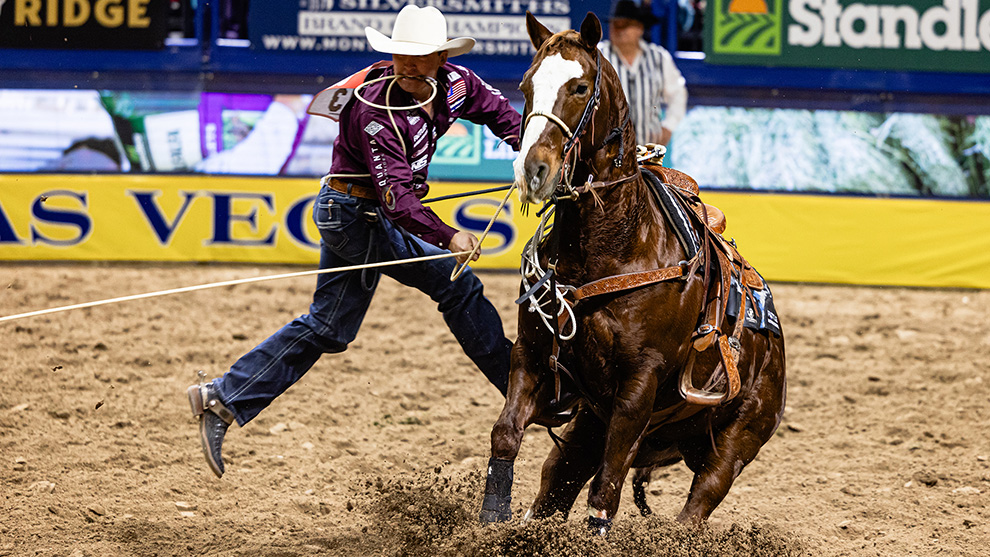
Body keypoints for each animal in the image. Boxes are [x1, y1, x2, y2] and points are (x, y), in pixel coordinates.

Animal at [480, 13, 792, 532]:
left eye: (580, 87)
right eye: (526, 86)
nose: (534, 170)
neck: (613, 247)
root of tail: (775, 346)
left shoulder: (640, 383)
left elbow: (608, 486)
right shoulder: (531, 353)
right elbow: (506, 433)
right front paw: (490, 520)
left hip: (737, 439)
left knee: (697, 501)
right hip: (589, 422)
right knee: (558, 478)